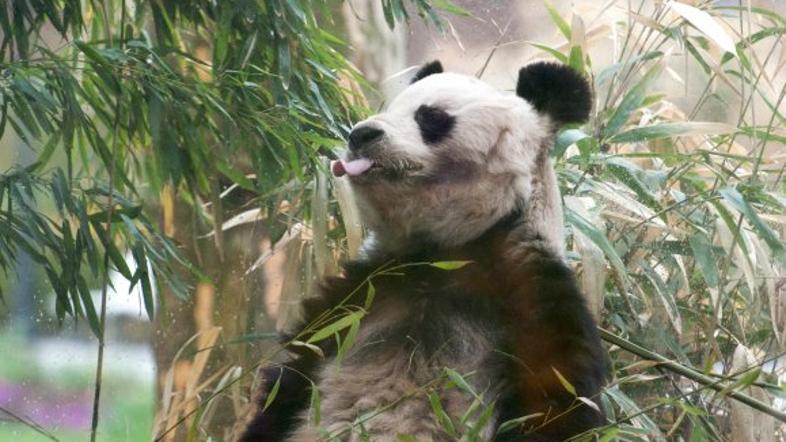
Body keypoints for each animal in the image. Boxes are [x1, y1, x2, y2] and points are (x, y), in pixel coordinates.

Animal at [240, 61, 605, 441]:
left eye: (430, 116)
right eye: (391, 107)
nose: (360, 135)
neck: (445, 250)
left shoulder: (531, 298)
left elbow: (555, 406)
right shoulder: (358, 297)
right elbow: (289, 384)